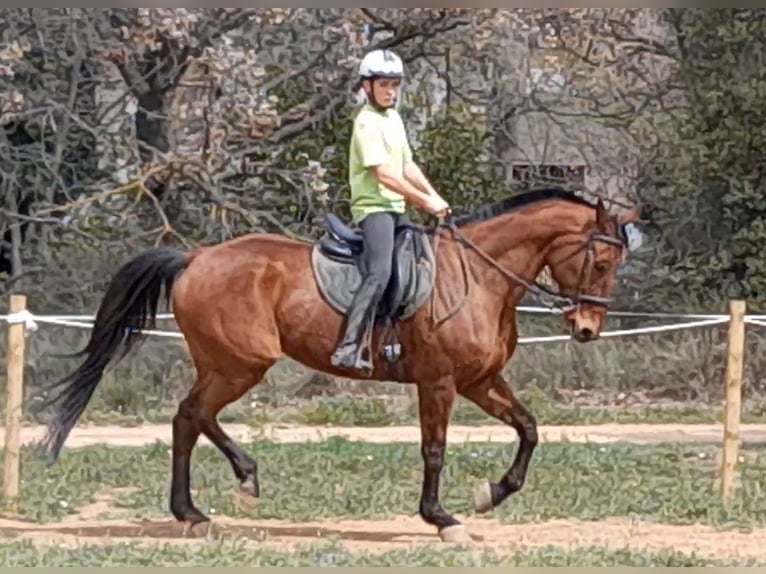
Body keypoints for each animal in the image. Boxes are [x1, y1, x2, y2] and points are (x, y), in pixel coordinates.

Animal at [37, 187, 640, 543]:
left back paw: (203, 504)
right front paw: (441, 518)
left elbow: (529, 428)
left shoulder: (481, 381)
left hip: (226, 364)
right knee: (193, 414)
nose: (587, 329)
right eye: (601, 261)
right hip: (241, 363)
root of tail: (196, 256)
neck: (479, 277)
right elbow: (435, 449)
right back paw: (230, 486)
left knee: (189, 418)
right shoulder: (439, 382)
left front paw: (491, 494)